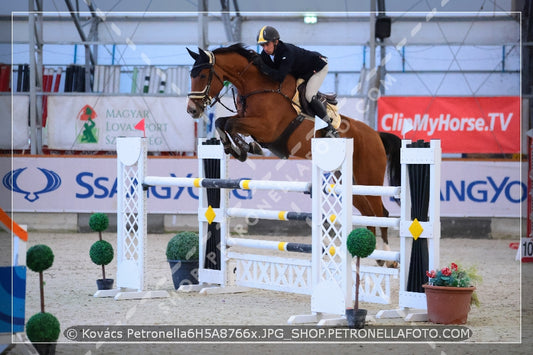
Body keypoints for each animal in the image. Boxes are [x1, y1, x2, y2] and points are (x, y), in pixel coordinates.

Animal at [186, 43, 400, 268]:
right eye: (191, 75)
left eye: (202, 75)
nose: (192, 110)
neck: (257, 86)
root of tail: (376, 134)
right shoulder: (249, 121)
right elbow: (223, 122)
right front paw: (238, 148)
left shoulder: (266, 128)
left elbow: (229, 123)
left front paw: (245, 147)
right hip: (348, 181)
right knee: (369, 213)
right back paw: (375, 256)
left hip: (369, 177)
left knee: (381, 213)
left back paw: (389, 259)